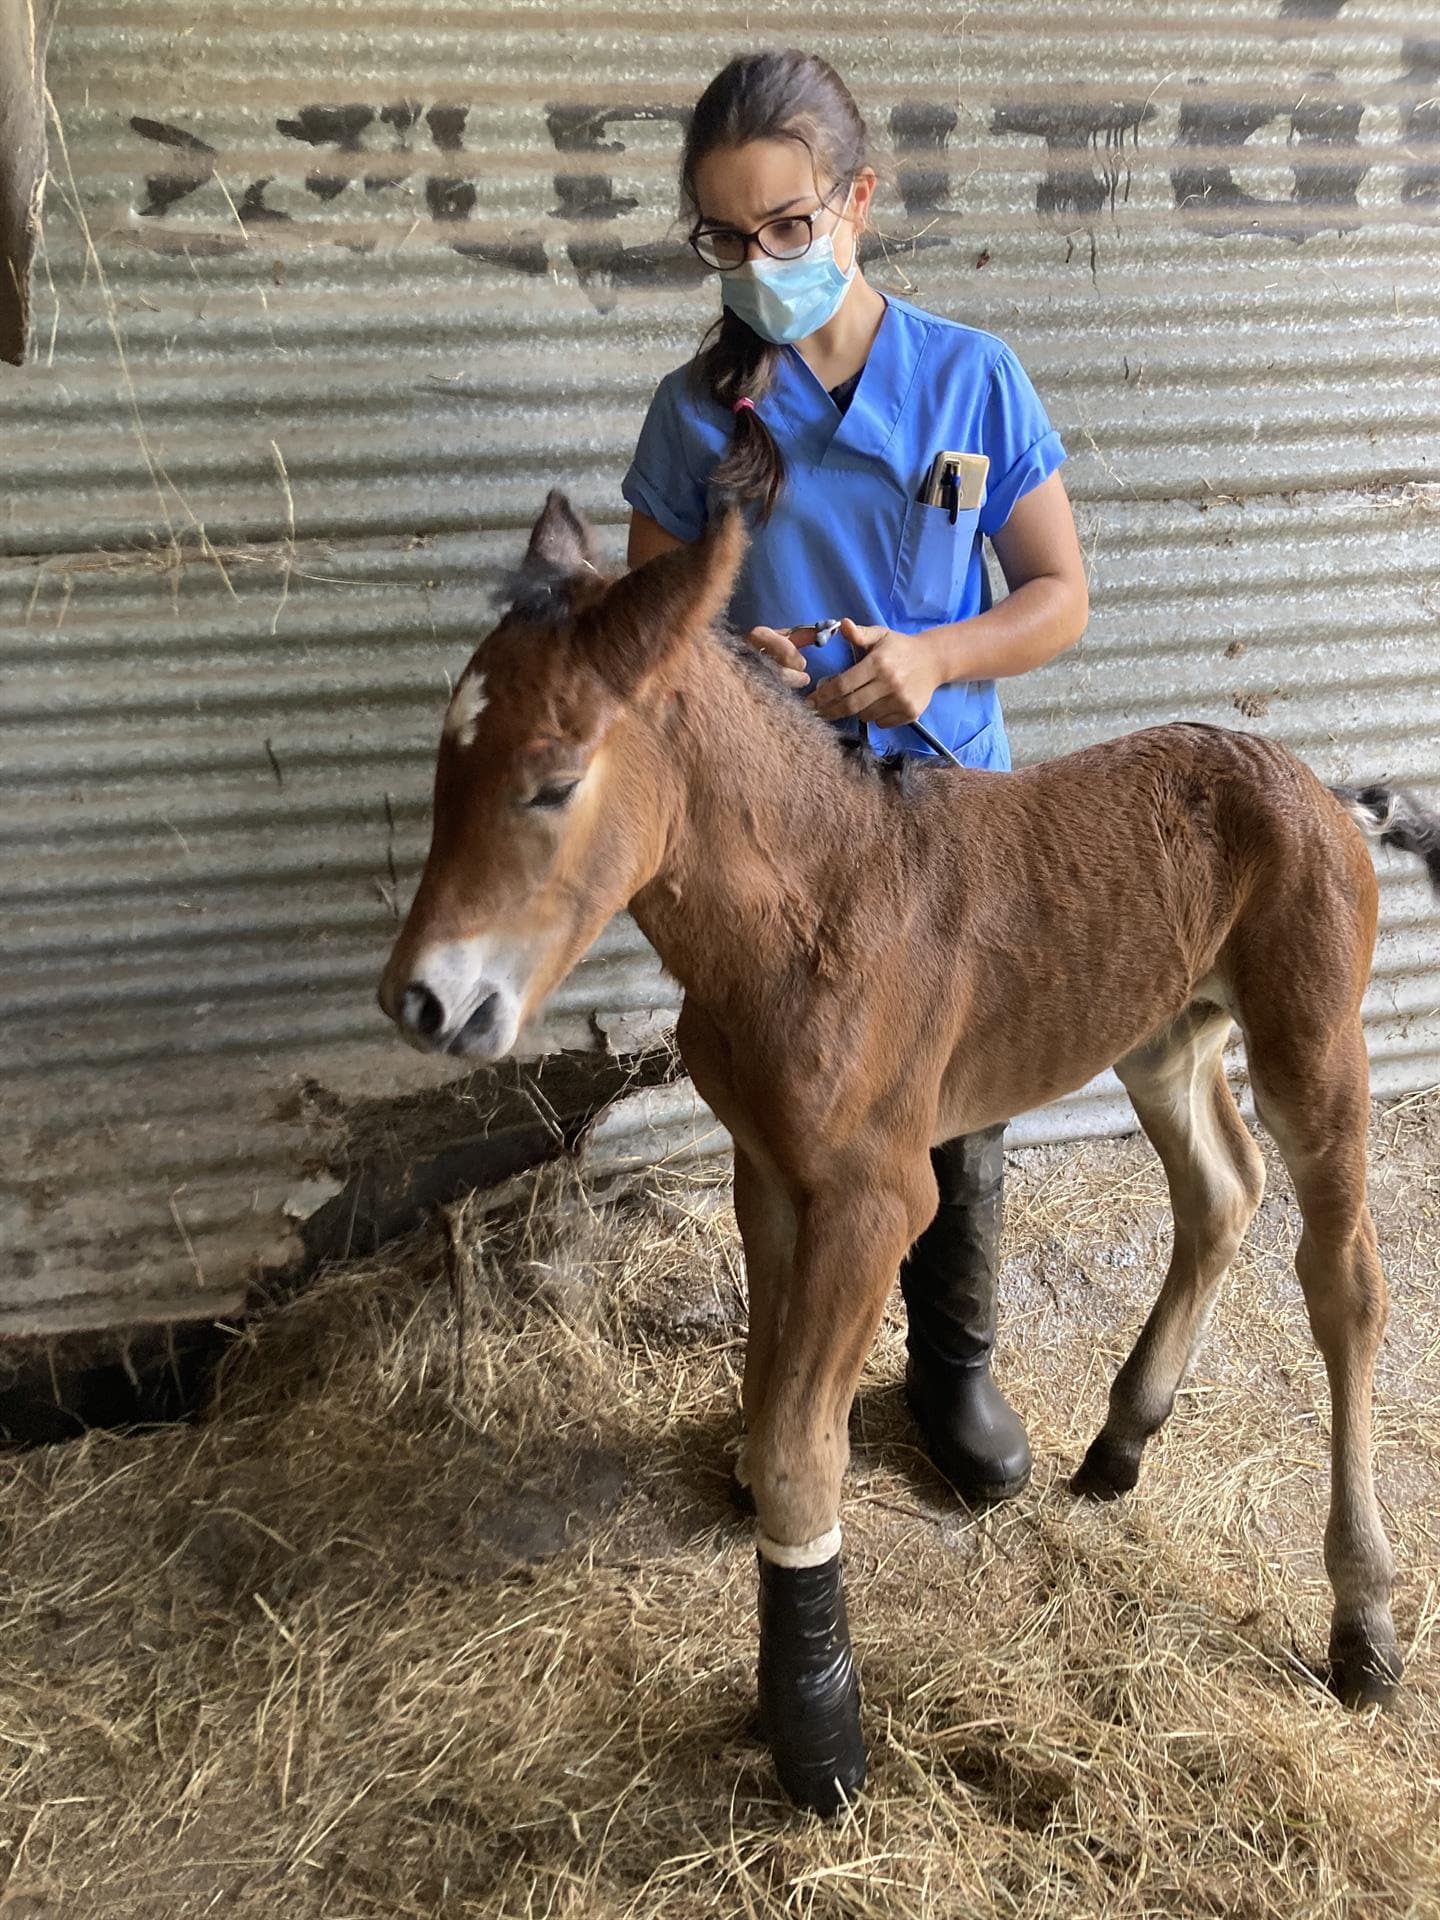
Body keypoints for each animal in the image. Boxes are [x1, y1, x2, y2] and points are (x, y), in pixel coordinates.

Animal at [380, 495, 1440, 1812]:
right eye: (444, 767)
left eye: (554, 780)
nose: (422, 1000)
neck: (809, 911)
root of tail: (1326, 793)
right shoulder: (769, 1166)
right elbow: (770, 1391)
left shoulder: (878, 1194)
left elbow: (801, 1450)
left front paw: (819, 1734)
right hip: (1160, 1032)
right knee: (1221, 1190)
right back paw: (1120, 1445)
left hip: (1312, 1040)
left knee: (1344, 1280)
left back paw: (1364, 1626)